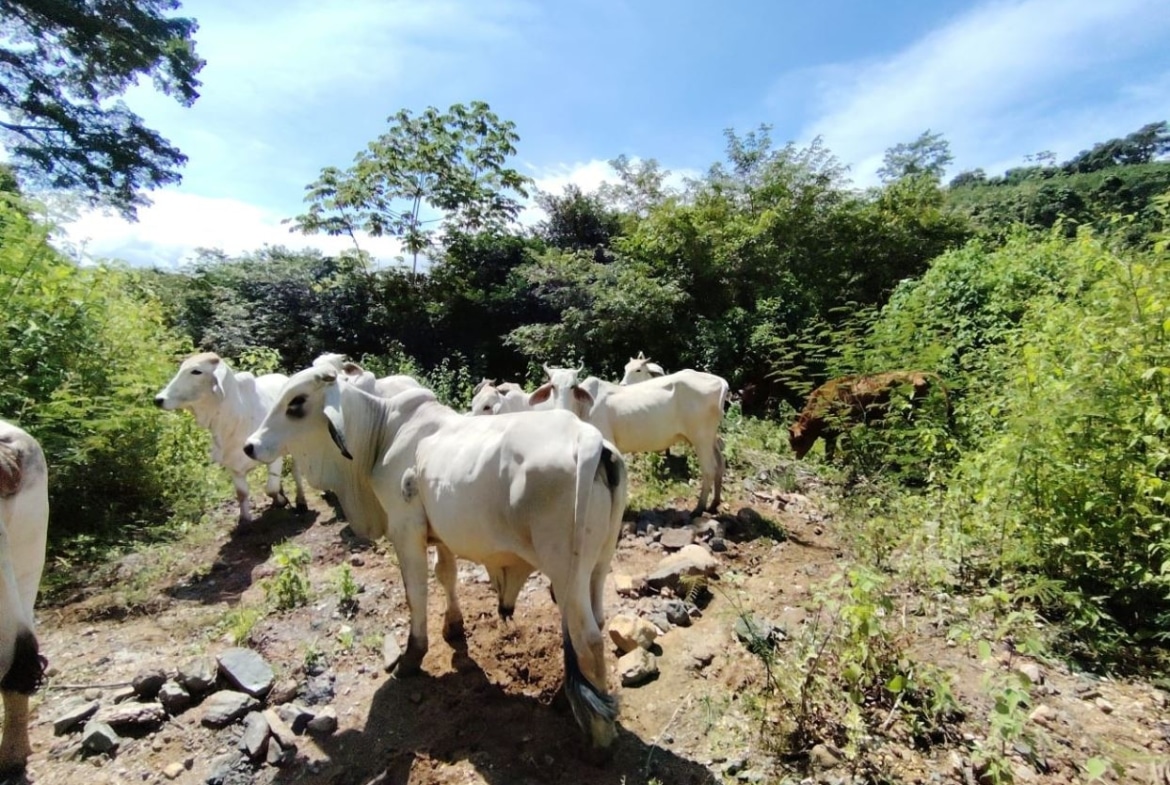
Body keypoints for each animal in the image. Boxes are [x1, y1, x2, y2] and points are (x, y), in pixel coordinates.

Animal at [154, 352, 307, 524]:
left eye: (196, 371)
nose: (158, 399)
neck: (235, 420)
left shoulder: (274, 458)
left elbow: (270, 488)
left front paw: (282, 501)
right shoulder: (233, 466)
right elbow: (242, 494)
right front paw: (245, 520)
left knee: (296, 473)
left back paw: (301, 502)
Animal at [243, 367, 629, 752]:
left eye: (297, 402)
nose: (250, 445)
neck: (381, 434)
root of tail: (589, 440)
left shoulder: (405, 528)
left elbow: (415, 593)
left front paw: (411, 658)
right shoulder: (440, 534)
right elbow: (446, 574)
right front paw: (453, 626)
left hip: (566, 571)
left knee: (589, 639)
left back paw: (600, 735)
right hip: (597, 565)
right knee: (597, 620)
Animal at [530, 365, 729, 514]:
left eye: (573, 387)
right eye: (552, 386)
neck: (582, 408)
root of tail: (720, 381)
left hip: (701, 437)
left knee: (709, 469)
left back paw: (699, 508)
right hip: (710, 438)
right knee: (720, 464)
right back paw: (714, 503)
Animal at [788, 371, 954, 460]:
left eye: (798, 441)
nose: (795, 458)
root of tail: (917, 373)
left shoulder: (846, 427)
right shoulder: (831, 434)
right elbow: (829, 452)